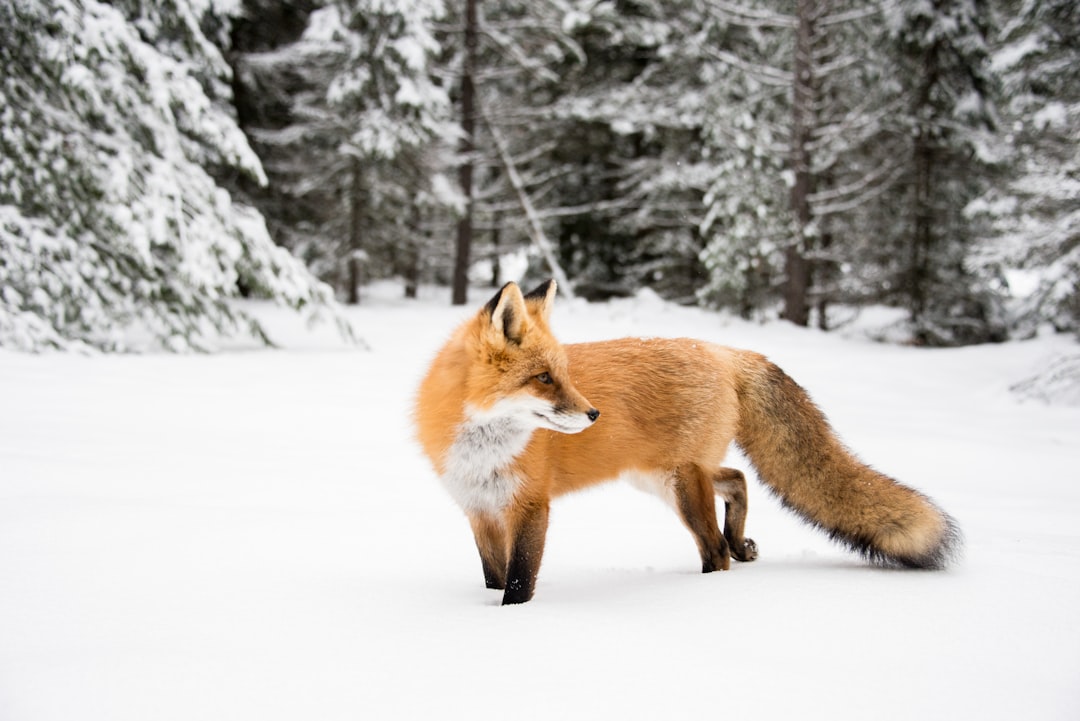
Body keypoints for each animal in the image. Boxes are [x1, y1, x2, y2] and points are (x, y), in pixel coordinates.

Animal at [415, 279, 961, 605]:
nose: (593, 414)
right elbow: (493, 574)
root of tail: (723, 351)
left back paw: (706, 587)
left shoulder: (530, 506)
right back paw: (742, 543)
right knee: (737, 479)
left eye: (563, 375)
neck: (483, 449)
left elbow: (518, 580)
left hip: (680, 484)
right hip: (661, 476)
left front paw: (511, 621)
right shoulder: (479, 509)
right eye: (544, 378)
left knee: (715, 548)